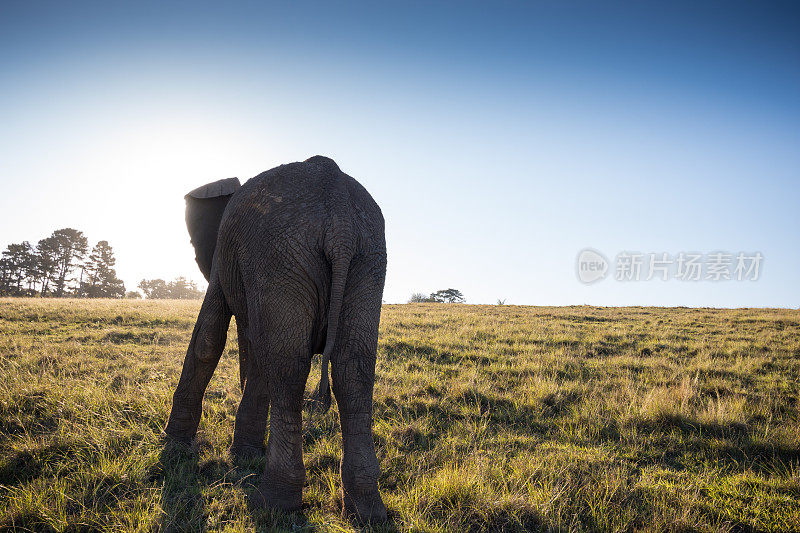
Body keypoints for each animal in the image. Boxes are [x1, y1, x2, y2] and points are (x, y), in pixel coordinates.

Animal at [163, 154, 388, 520]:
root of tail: (338, 215)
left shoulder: (227, 258)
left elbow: (209, 338)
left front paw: (174, 447)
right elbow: (255, 346)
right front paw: (245, 455)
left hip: (282, 257)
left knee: (287, 366)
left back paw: (273, 503)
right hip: (365, 259)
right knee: (352, 368)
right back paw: (366, 510)